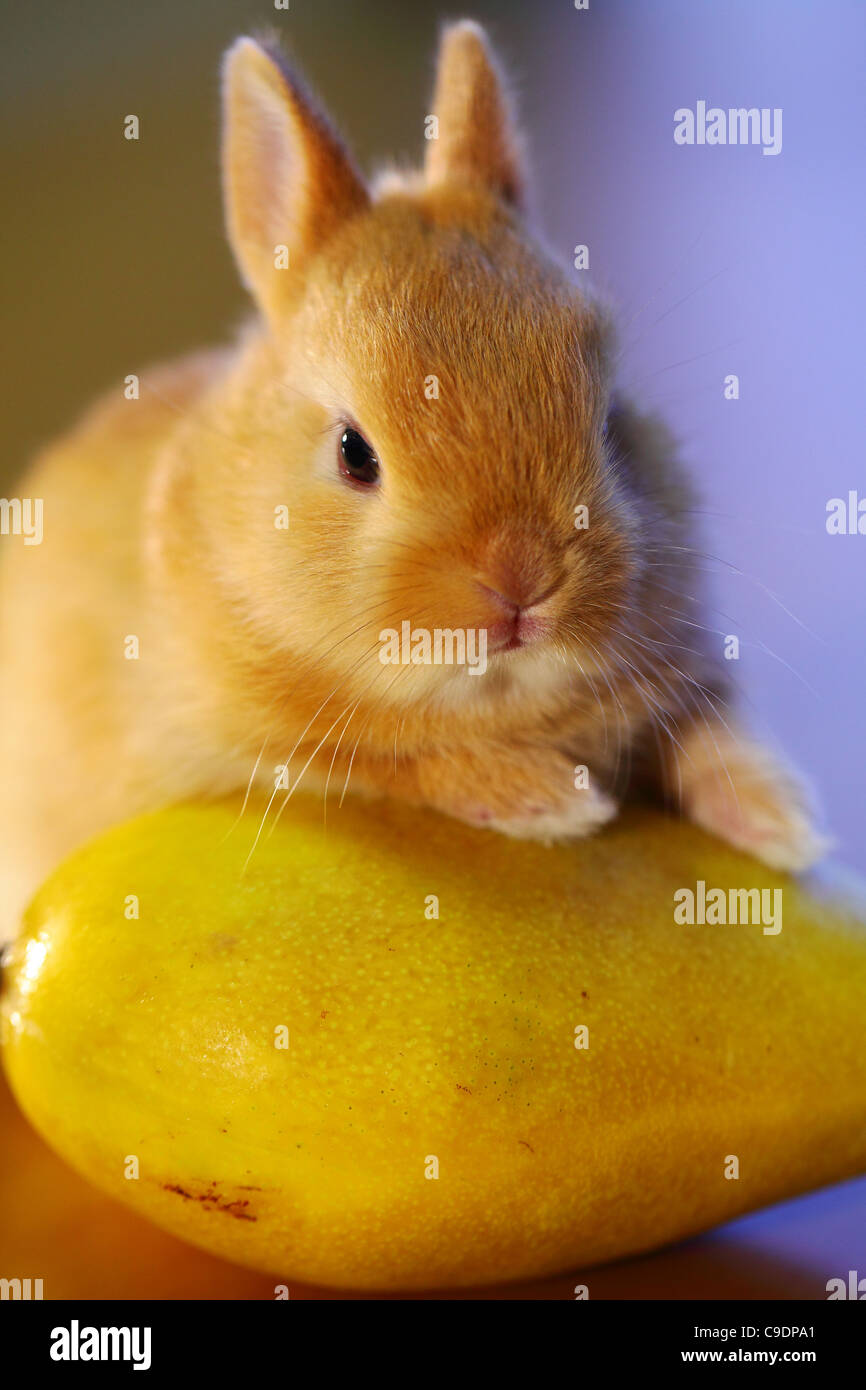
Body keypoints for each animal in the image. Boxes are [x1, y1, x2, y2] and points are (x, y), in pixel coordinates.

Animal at [0, 21, 828, 939]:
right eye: (354, 454)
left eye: (612, 417)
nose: (522, 582)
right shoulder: (268, 747)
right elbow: (404, 761)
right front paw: (552, 801)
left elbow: (707, 738)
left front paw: (782, 823)